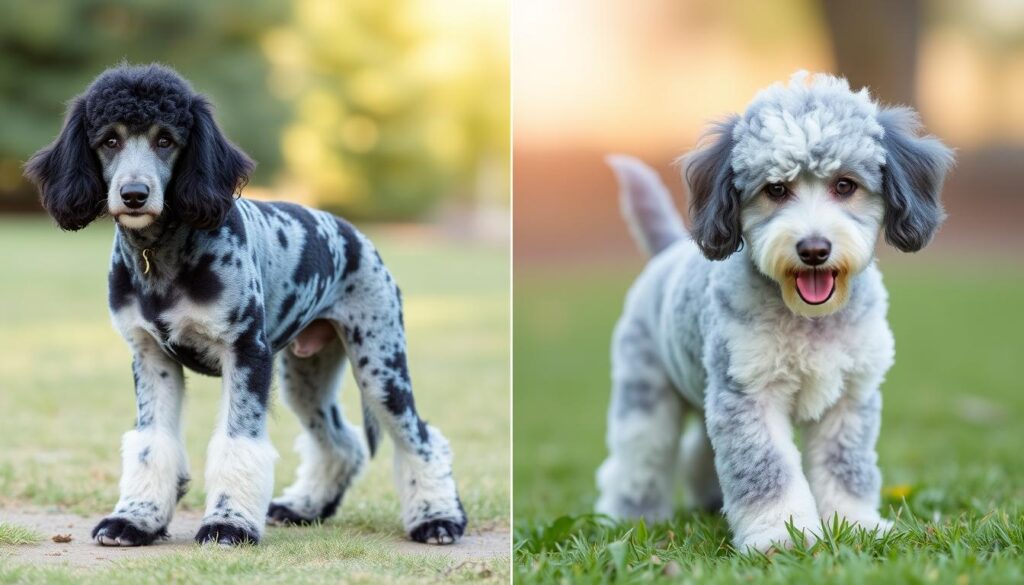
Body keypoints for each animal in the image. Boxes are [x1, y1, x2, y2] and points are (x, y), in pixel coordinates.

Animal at [24, 64, 466, 549]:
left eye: (166, 139)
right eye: (109, 140)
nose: (135, 193)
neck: (163, 256)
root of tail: (357, 237)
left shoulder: (246, 355)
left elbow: (238, 445)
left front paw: (228, 524)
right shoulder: (151, 357)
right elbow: (151, 443)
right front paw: (135, 519)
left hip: (380, 367)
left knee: (420, 439)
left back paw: (438, 518)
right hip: (306, 377)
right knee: (340, 443)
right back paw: (304, 507)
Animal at [598, 71, 954, 553]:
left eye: (845, 185)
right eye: (776, 189)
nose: (814, 249)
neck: (809, 322)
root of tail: (668, 250)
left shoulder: (849, 399)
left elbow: (847, 469)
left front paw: (856, 524)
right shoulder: (750, 397)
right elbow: (766, 471)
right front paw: (781, 535)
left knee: (697, 452)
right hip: (646, 395)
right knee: (638, 459)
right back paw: (630, 515)